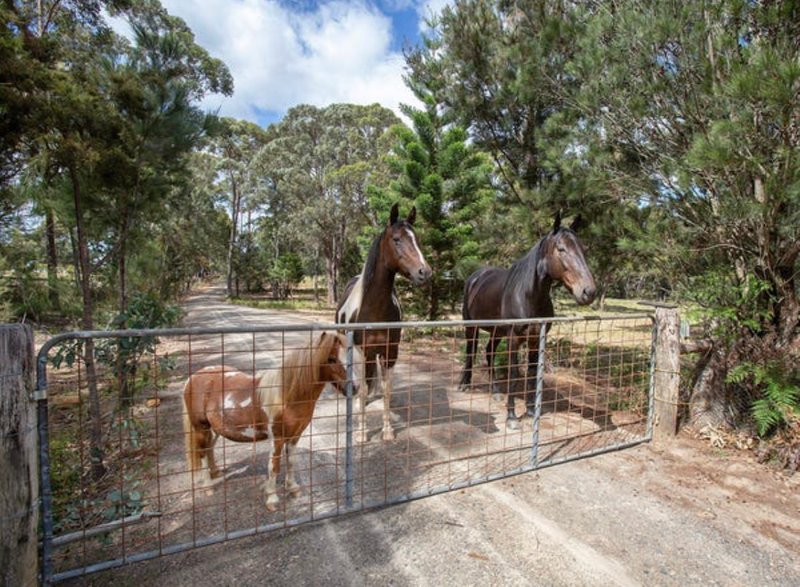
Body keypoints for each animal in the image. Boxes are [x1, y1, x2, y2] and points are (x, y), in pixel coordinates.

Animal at [182, 334, 366, 512]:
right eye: (331, 359)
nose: (355, 388)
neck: (288, 395)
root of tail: (192, 378)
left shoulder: (295, 436)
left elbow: (291, 462)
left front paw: (293, 488)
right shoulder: (277, 438)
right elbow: (274, 466)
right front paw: (272, 499)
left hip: (214, 429)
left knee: (209, 448)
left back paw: (216, 473)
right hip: (201, 428)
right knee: (202, 453)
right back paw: (207, 486)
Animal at [336, 202, 432, 440]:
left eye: (416, 239)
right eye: (396, 239)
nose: (424, 272)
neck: (374, 310)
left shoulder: (390, 352)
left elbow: (387, 390)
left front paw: (387, 430)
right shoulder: (361, 352)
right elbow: (361, 388)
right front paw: (361, 432)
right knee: (357, 383)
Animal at [462, 214, 592, 430]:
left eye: (583, 249)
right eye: (561, 249)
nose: (589, 291)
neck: (527, 295)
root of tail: (475, 277)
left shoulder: (535, 340)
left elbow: (532, 374)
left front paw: (531, 412)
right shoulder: (514, 339)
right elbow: (515, 374)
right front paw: (512, 418)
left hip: (497, 332)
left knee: (489, 352)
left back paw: (496, 392)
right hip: (471, 327)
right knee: (470, 352)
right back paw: (463, 384)